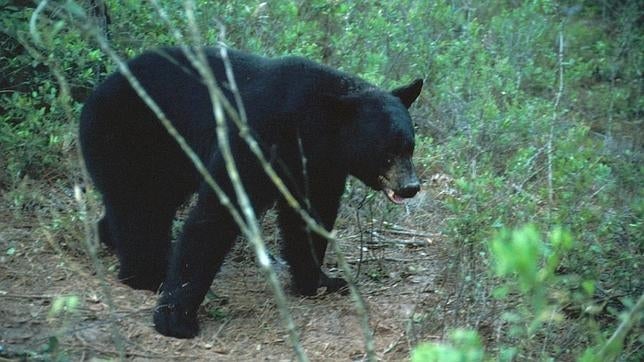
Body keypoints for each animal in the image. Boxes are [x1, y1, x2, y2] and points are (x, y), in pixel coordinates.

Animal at [79, 46, 422, 338]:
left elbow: (310, 217)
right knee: (139, 206)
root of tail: (97, 90)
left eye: (409, 146)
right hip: (131, 135)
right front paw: (176, 317)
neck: (309, 126)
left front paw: (321, 281)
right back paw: (146, 274)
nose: (410, 187)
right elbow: (216, 214)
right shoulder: (255, 137)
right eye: (387, 153)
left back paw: (109, 238)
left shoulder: (317, 167)